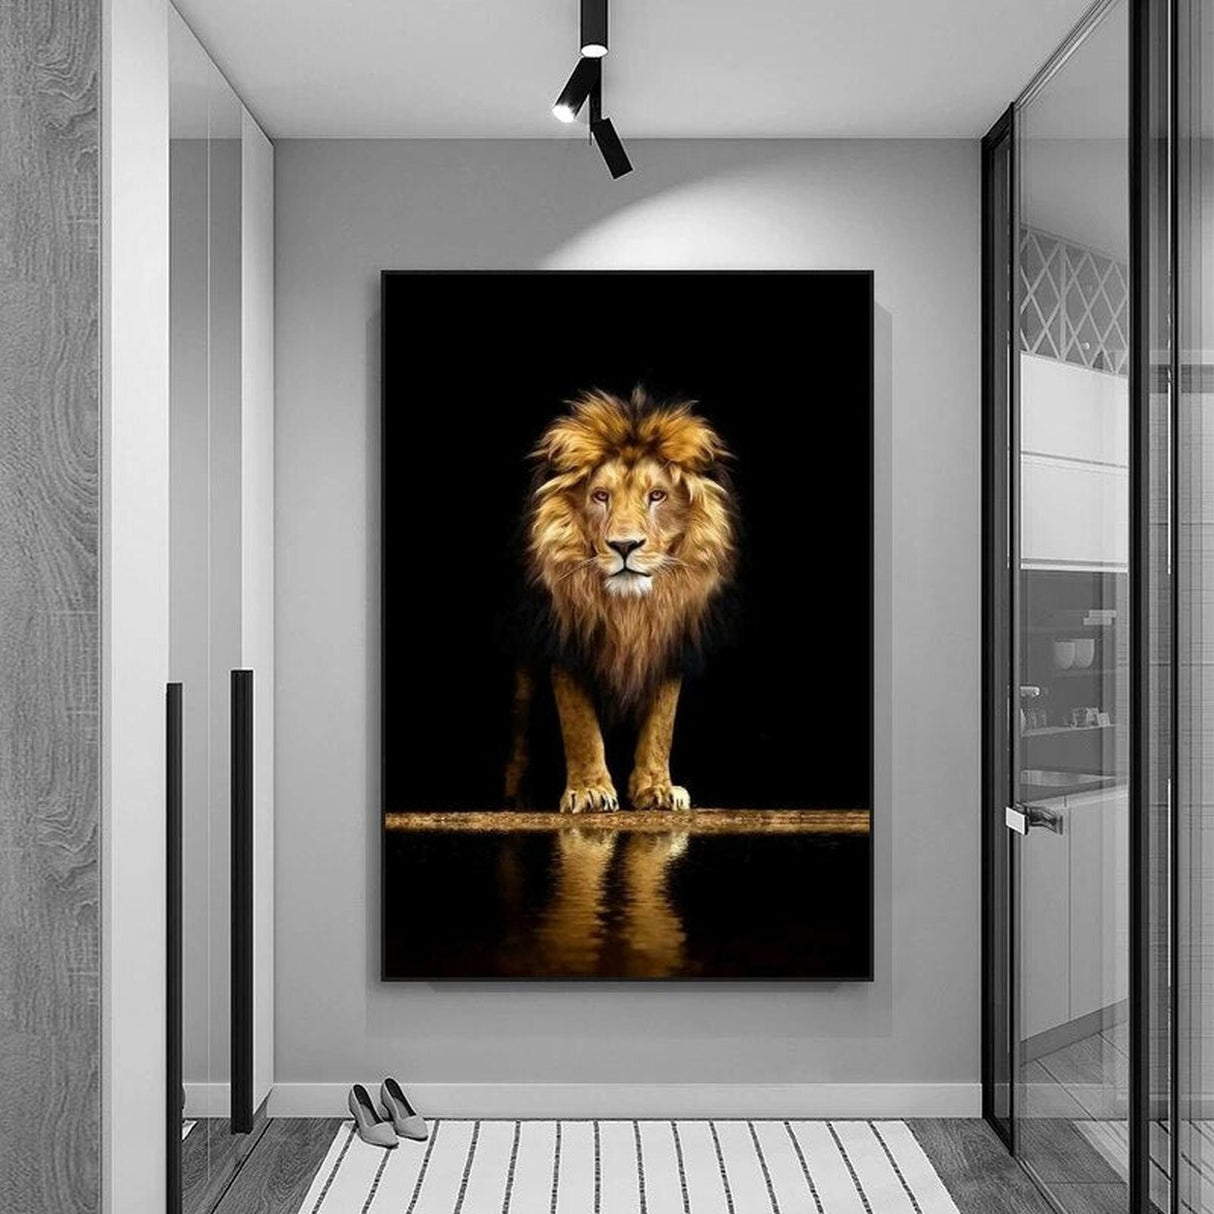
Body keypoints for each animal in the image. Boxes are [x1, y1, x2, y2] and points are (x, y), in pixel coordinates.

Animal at [505, 386, 737, 813]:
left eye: (657, 495)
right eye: (600, 496)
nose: (625, 545)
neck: (628, 609)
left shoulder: (668, 640)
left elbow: (662, 723)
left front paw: (658, 788)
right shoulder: (566, 641)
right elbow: (579, 723)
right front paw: (590, 790)